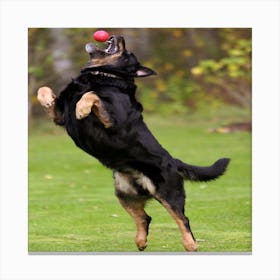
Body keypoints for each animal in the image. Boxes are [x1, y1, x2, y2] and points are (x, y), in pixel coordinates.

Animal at [36, 35, 230, 252]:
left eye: (128, 52)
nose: (118, 36)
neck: (103, 75)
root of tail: (173, 161)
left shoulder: (112, 121)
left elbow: (92, 95)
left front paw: (81, 109)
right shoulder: (60, 116)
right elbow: (43, 88)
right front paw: (46, 100)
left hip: (167, 193)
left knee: (182, 219)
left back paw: (190, 244)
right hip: (124, 194)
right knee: (145, 217)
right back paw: (141, 241)